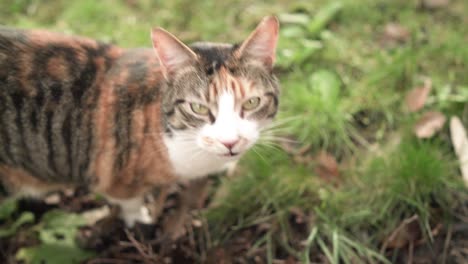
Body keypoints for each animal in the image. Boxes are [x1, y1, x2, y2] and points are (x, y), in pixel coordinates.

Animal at [0, 16, 280, 227]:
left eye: (251, 103)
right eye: (198, 108)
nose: (230, 142)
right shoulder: (115, 177)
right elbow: (129, 200)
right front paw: (139, 219)